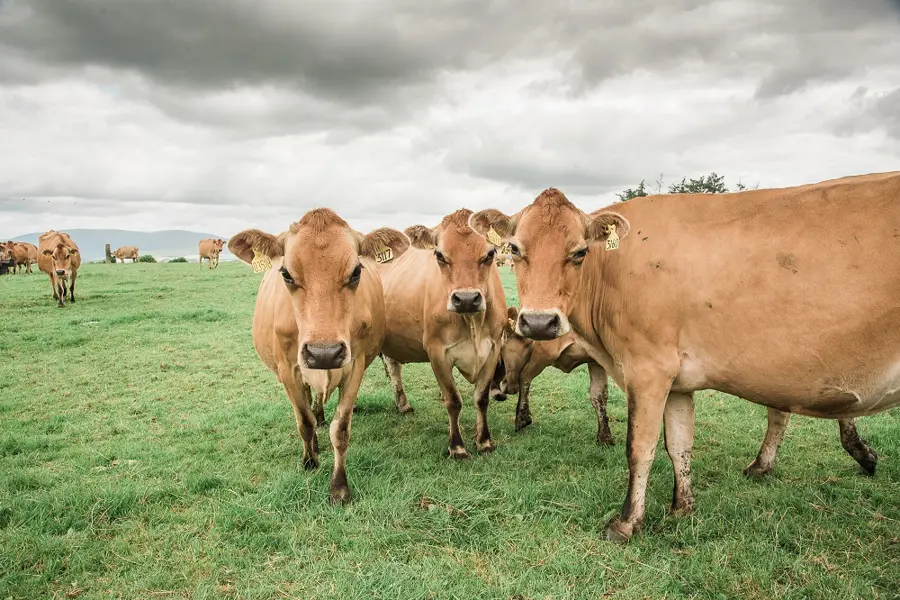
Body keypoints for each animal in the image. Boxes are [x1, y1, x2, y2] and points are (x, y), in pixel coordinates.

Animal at [227, 209, 409, 504]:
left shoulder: (355, 364)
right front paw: (309, 460)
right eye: (286, 274)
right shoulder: (287, 369)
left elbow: (341, 429)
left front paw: (339, 487)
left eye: (356, 271)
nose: (324, 353)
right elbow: (304, 422)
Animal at [377, 209, 506, 458]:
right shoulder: (437, 351)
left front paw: (484, 441)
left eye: (490, 253)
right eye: (439, 255)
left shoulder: (493, 348)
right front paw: (457, 447)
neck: (472, 322)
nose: (466, 299)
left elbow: (481, 398)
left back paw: (403, 404)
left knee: (393, 365)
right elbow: (453, 401)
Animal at [498, 306, 613, 445]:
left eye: (502, 347)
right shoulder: (596, 360)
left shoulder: (545, 351)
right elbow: (598, 395)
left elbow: (524, 377)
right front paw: (605, 438)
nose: (503, 383)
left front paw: (522, 418)